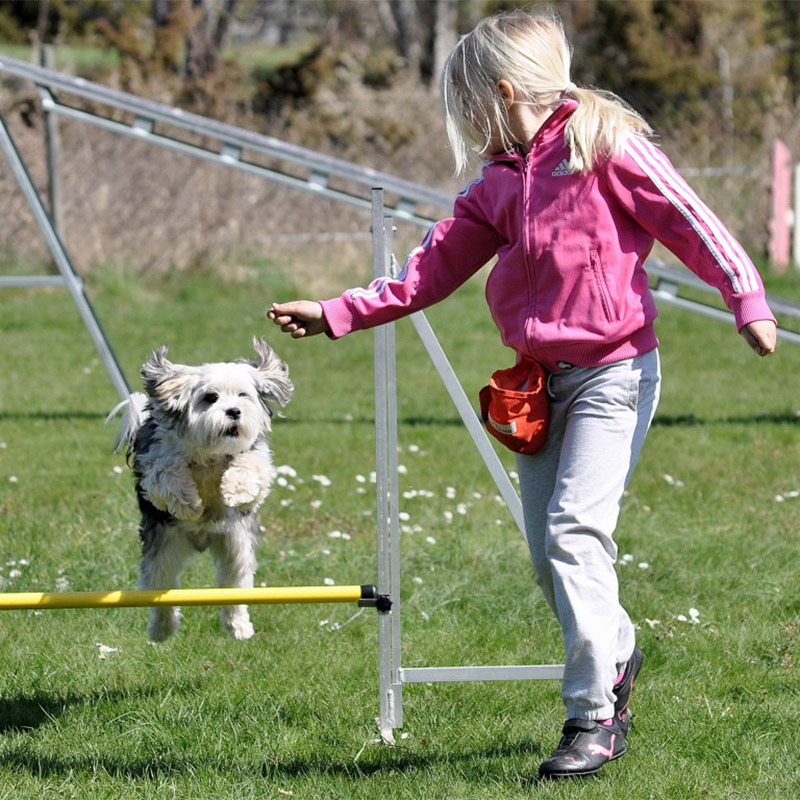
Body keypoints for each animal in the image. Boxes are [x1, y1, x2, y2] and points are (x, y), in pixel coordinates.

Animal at [111, 338, 294, 644]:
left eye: (243, 395)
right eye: (211, 398)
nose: (234, 412)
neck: (211, 452)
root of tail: (201, 540)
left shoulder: (256, 457)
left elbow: (251, 468)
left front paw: (234, 491)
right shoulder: (156, 459)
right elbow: (168, 474)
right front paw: (189, 504)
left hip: (237, 548)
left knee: (233, 588)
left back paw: (239, 628)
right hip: (164, 551)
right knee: (162, 591)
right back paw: (161, 630)